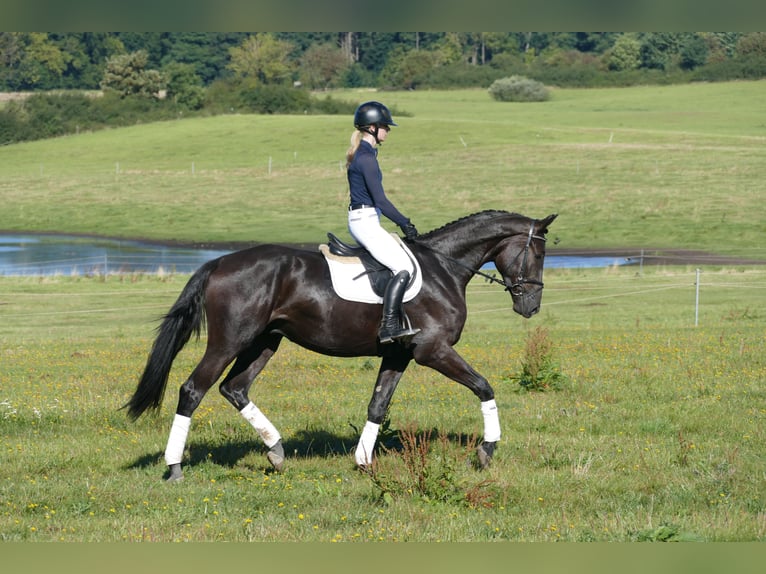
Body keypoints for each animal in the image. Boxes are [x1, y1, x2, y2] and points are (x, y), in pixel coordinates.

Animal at [125, 210, 557, 481]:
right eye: (538, 252)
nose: (531, 306)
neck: (443, 268)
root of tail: (219, 262)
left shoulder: (399, 354)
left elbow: (378, 406)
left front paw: (363, 462)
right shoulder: (432, 351)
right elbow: (484, 386)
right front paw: (487, 449)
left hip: (263, 342)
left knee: (235, 388)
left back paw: (276, 451)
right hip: (230, 341)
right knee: (193, 390)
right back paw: (175, 468)